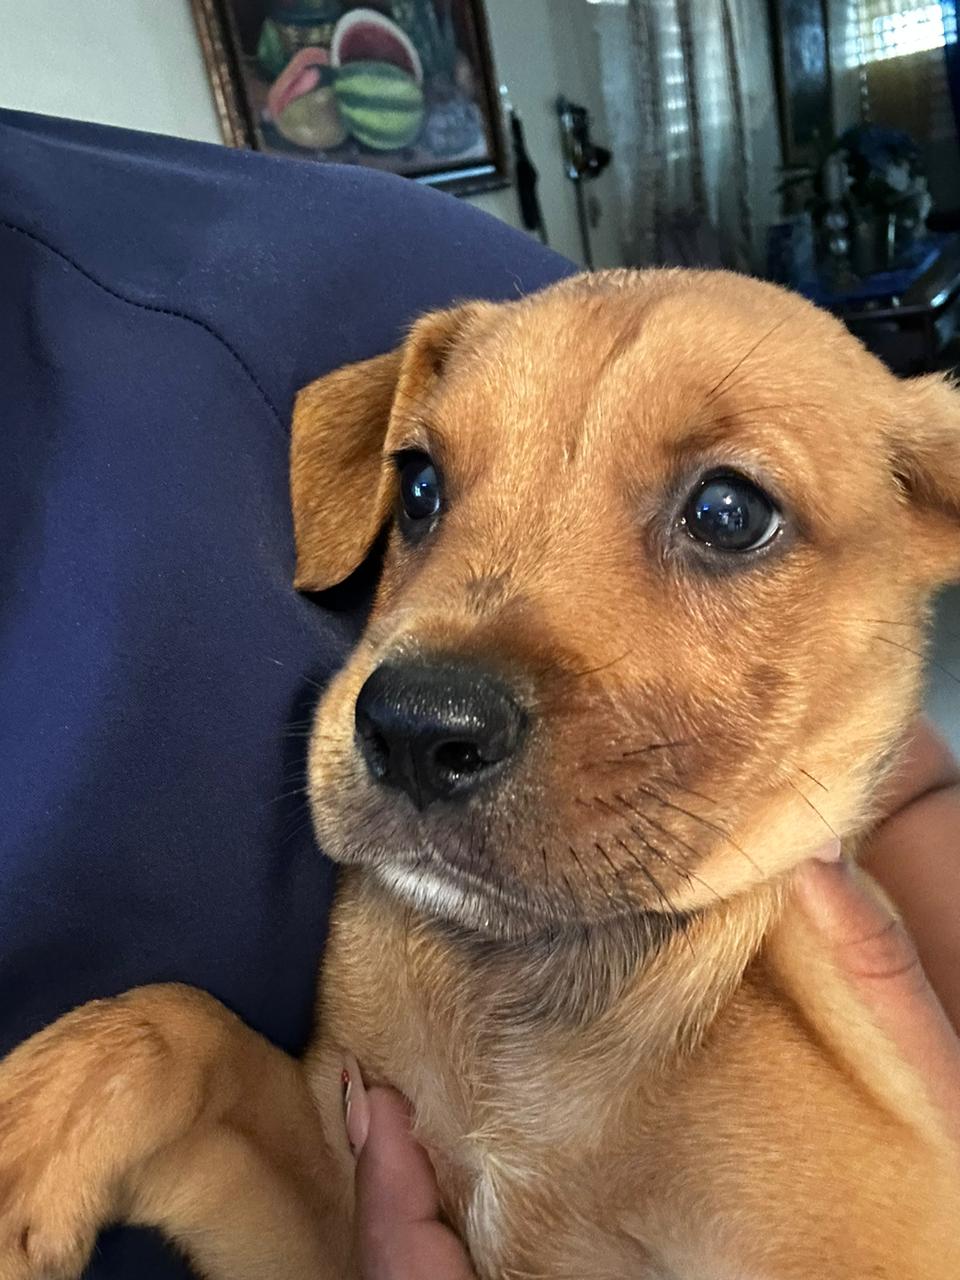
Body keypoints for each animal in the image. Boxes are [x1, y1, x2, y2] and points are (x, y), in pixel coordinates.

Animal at [1, 270, 960, 1280]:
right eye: (420, 486)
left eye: (728, 514)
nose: (417, 730)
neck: (527, 985)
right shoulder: (349, 1193)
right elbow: (173, 1026)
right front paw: (23, 1148)